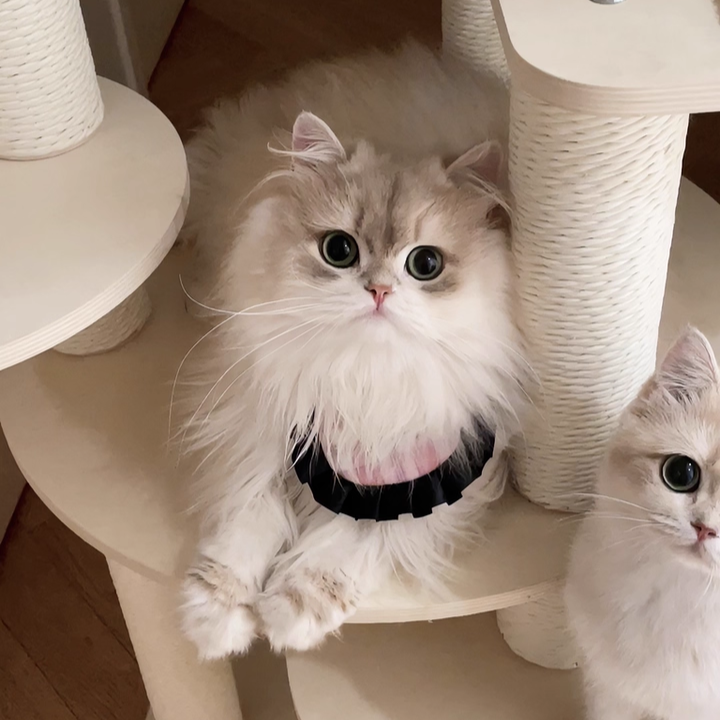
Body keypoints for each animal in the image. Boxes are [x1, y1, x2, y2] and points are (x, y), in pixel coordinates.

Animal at [179, 40, 526, 660]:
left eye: (425, 263)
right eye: (339, 250)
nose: (379, 291)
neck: (364, 377)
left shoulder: (436, 474)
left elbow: (349, 542)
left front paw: (290, 614)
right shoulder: (268, 432)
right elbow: (248, 519)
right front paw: (216, 617)